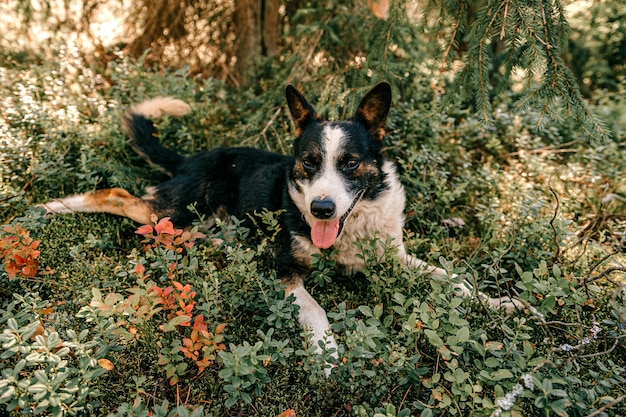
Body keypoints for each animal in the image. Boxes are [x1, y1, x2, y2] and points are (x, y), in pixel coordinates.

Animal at [42, 82, 520, 370]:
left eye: (350, 163)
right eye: (308, 162)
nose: (322, 209)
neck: (349, 231)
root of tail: (192, 158)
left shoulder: (396, 259)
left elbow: (453, 279)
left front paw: (504, 304)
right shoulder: (287, 274)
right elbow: (317, 310)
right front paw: (328, 359)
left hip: (188, 224)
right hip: (176, 211)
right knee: (116, 194)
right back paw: (57, 204)